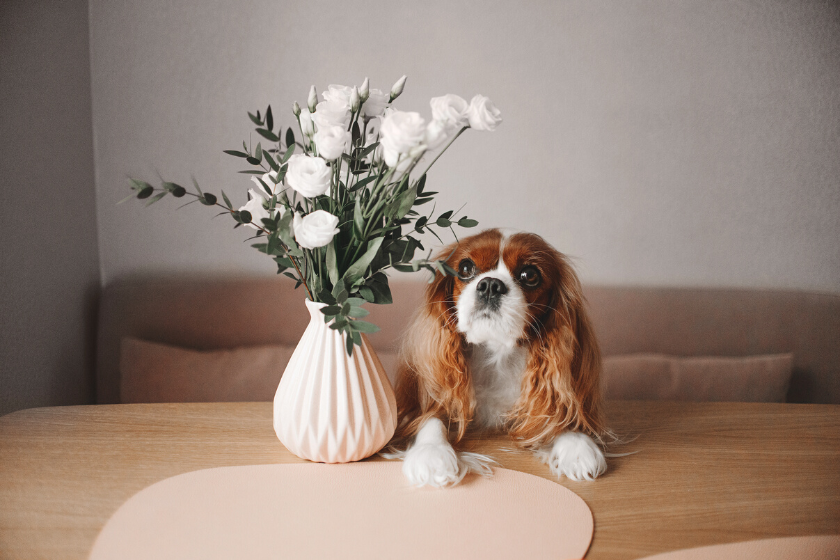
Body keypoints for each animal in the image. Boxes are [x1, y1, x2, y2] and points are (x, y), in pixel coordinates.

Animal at [390, 228, 608, 486]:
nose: (490, 285)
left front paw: (576, 445)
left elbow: (560, 408)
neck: (497, 353)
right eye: (465, 268)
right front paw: (432, 454)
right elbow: (431, 417)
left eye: (529, 274)